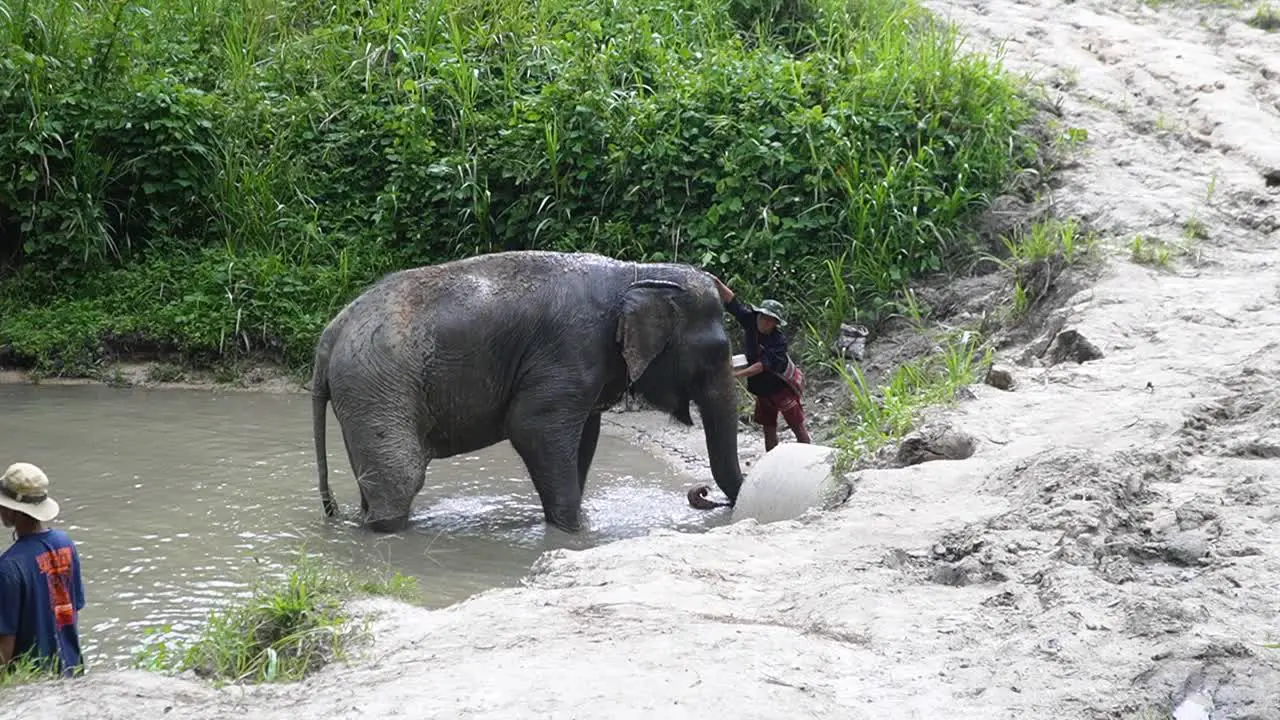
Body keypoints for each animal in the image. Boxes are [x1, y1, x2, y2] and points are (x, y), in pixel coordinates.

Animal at [309, 249, 747, 530]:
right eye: (715, 352)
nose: (701, 493)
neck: (635, 274)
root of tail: (331, 333)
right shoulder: (571, 346)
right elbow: (532, 427)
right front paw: (573, 532)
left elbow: (583, 439)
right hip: (377, 386)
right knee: (401, 477)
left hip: (365, 392)